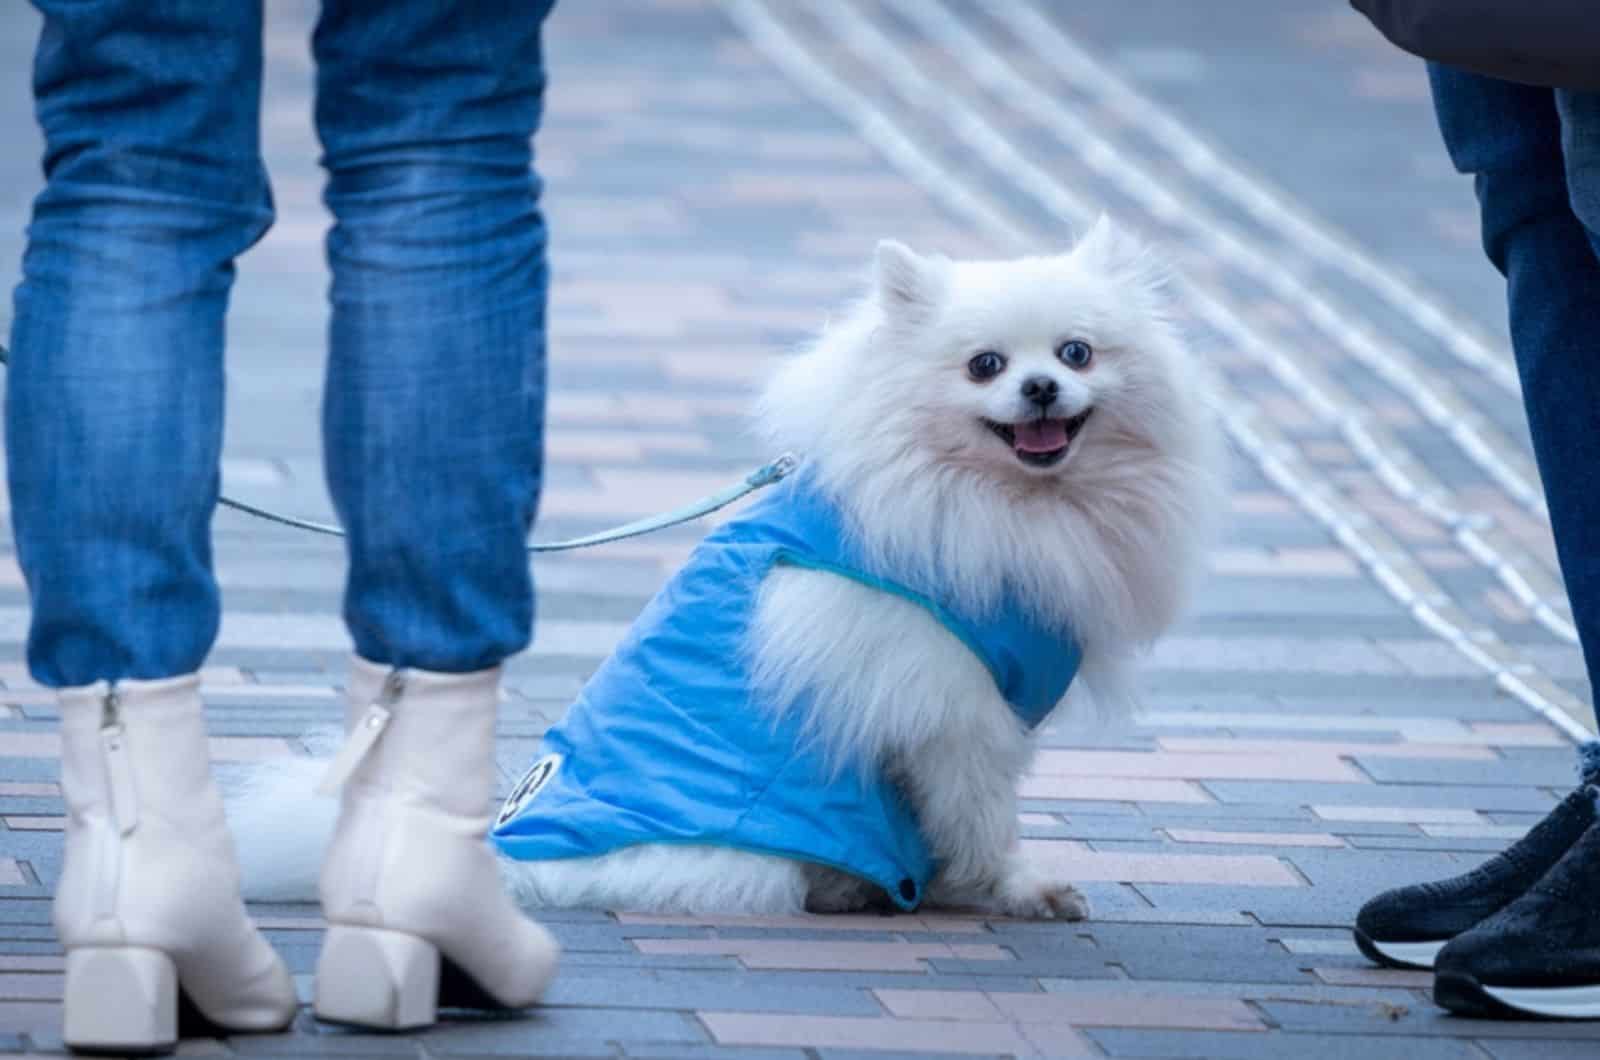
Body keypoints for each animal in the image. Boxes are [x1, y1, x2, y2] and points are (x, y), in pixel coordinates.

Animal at [232, 219, 1216, 928]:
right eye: (986, 366)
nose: (1041, 388)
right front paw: (1013, 889)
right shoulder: (950, 703)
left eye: (1077, 353)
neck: (1010, 502)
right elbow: (979, 813)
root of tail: (513, 856)